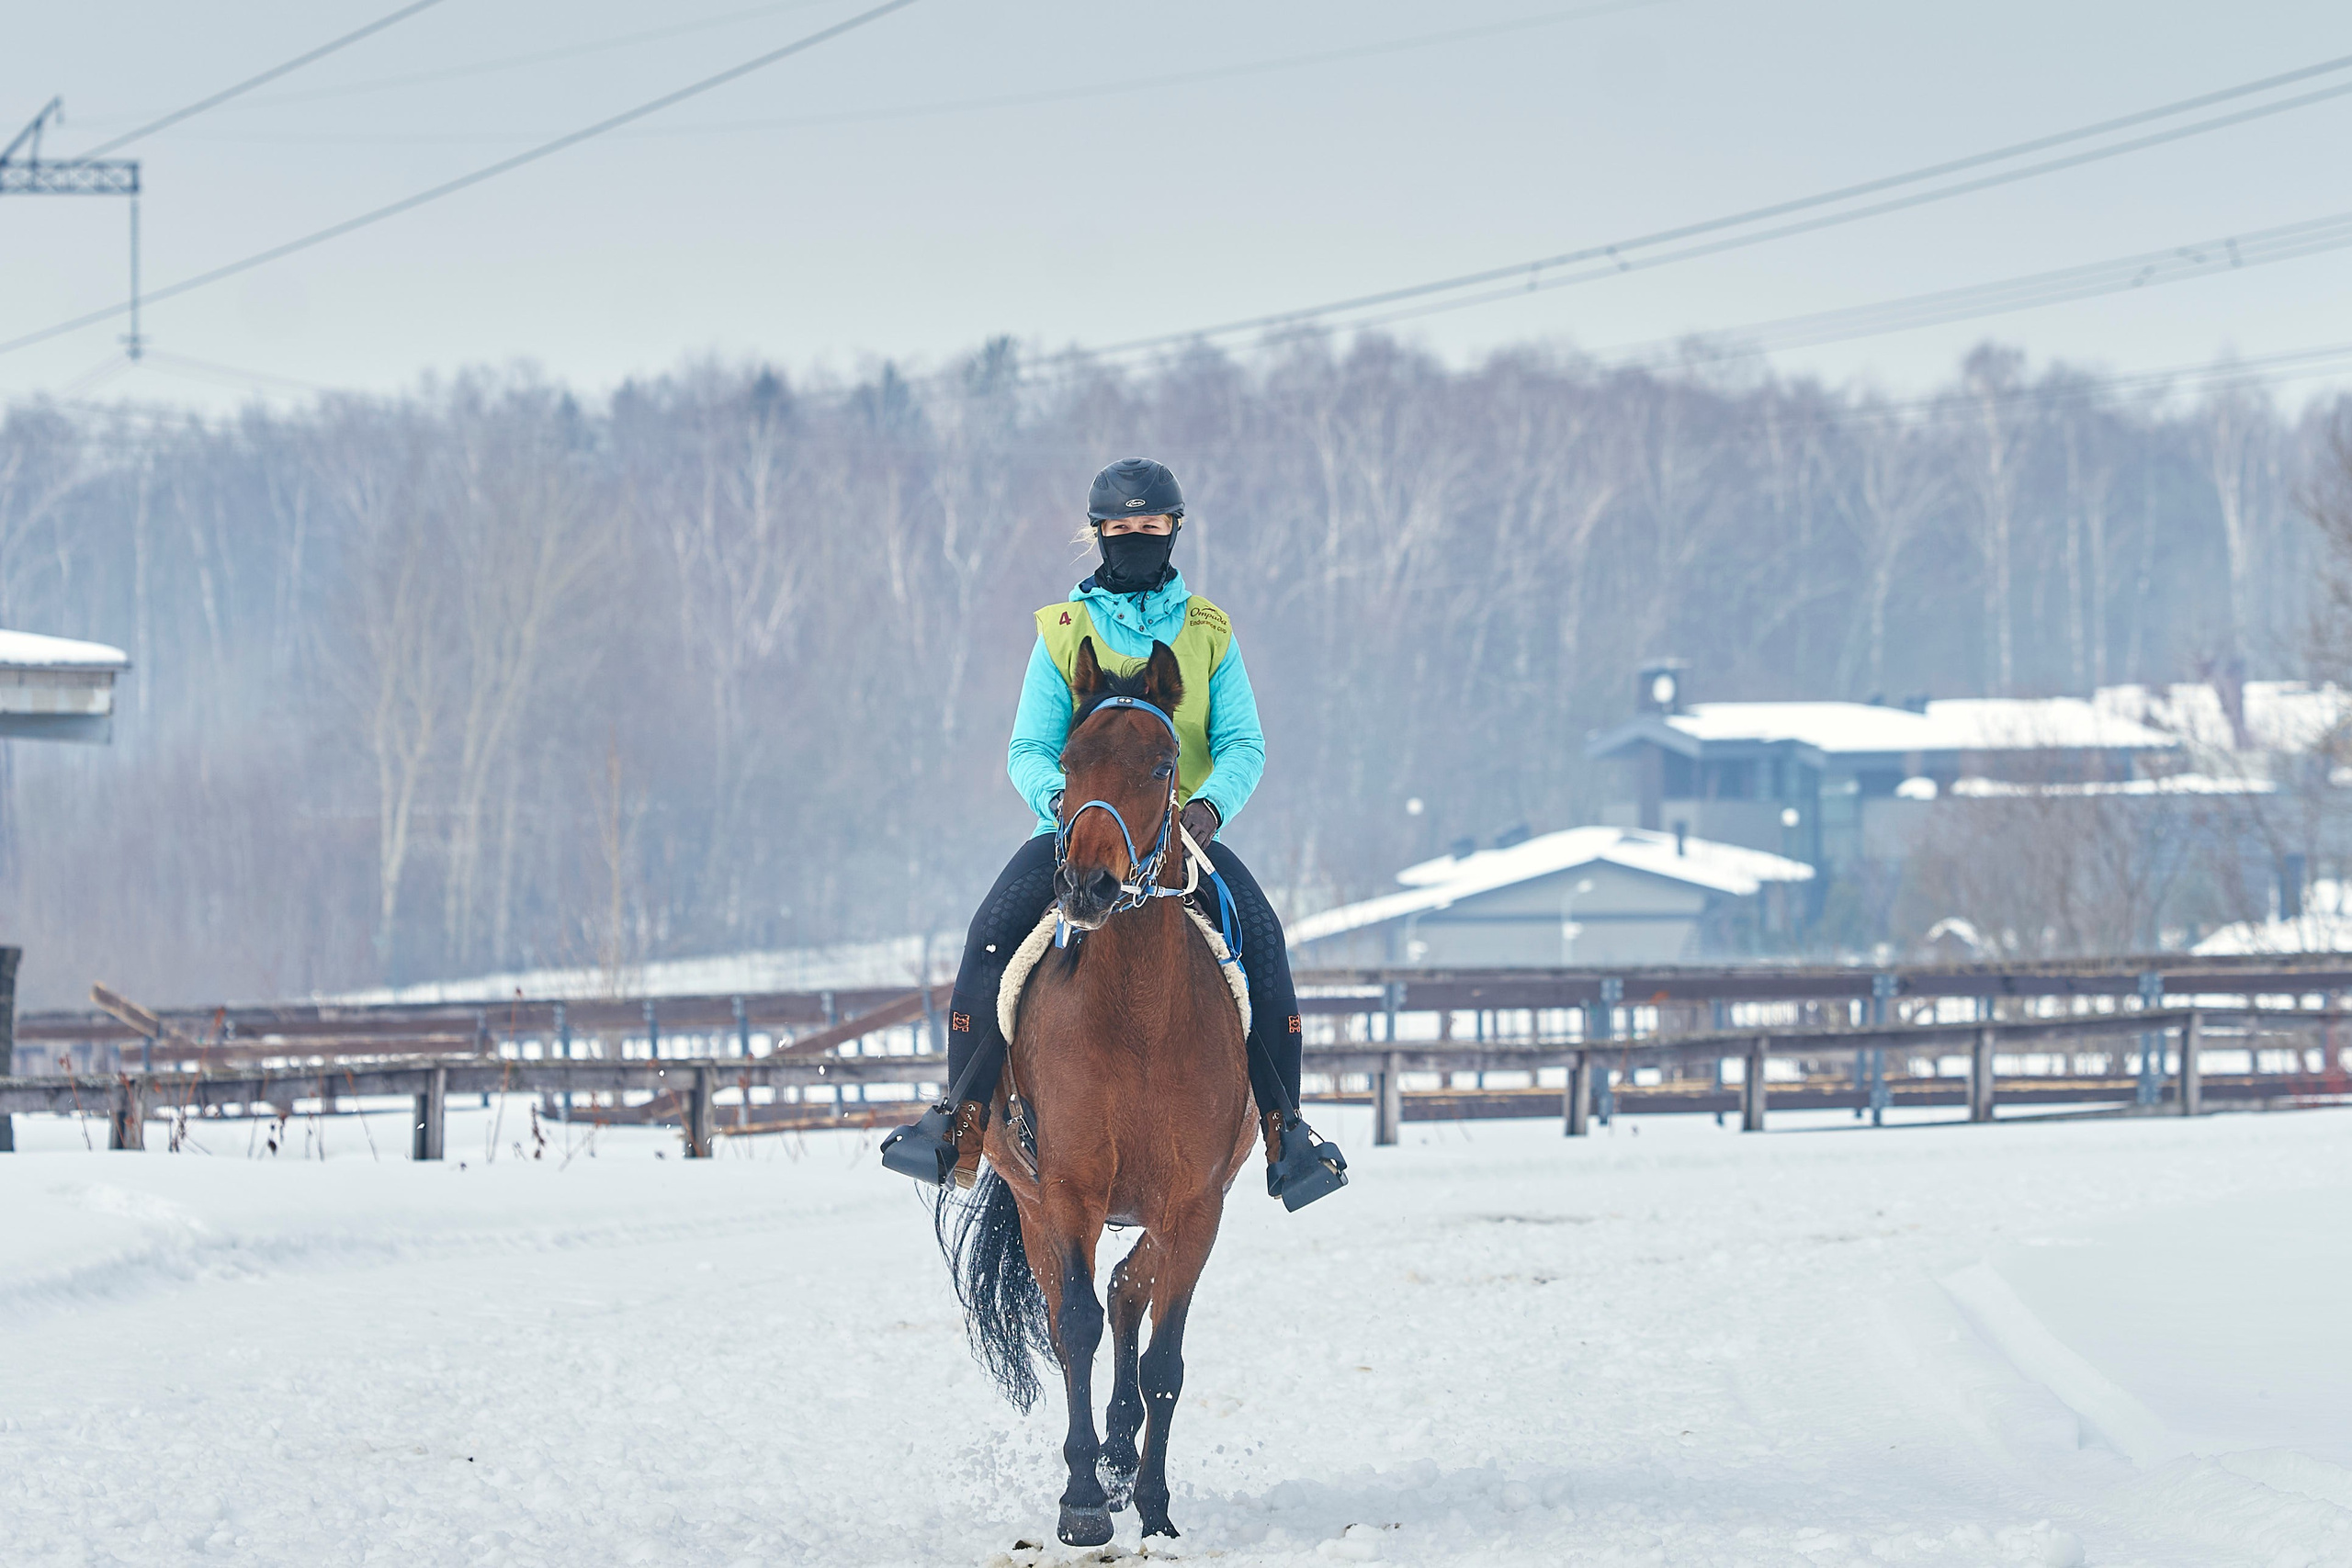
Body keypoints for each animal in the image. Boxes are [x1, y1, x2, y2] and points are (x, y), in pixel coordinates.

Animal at [935, 636, 1258, 1547]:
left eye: (1161, 764)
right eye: (1070, 763)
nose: (1086, 886)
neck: (1140, 1017)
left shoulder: (1197, 1203)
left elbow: (1165, 1360)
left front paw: (1152, 1502)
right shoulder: (1072, 1191)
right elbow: (1073, 1329)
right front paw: (1081, 1501)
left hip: (1160, 1209)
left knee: (1126, 1291)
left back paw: (1120, 1457)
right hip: (1036, 1201)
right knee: (1073, 1308)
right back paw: (1098, 1466)